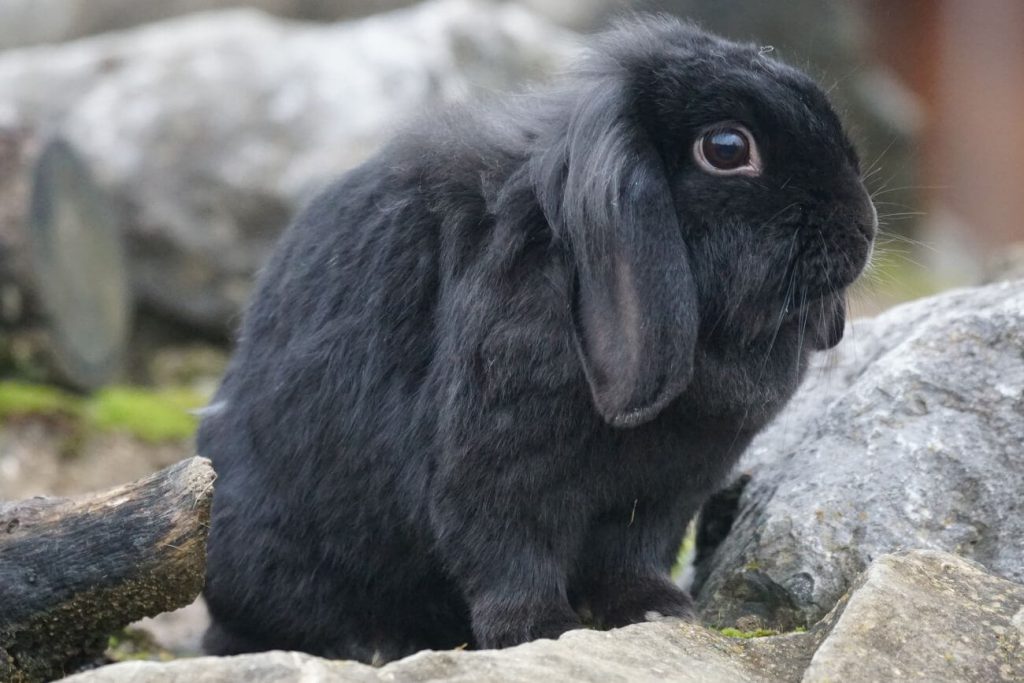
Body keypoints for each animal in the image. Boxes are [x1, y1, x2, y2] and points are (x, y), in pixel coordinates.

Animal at [201, 14, 880, 663]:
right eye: (728, 147)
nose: (864, 226)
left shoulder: (668, 490)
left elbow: (632, 555)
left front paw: (660, 611)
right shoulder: (496, 469)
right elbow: (509, 555)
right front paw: (541, 631)